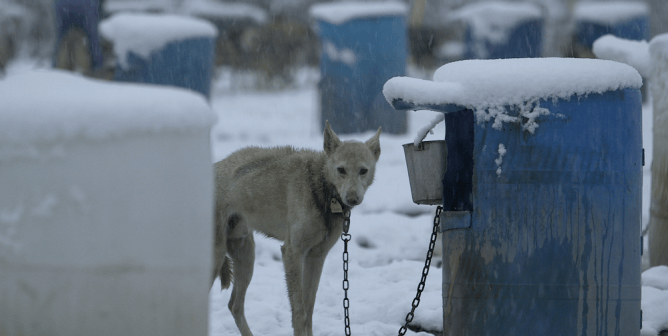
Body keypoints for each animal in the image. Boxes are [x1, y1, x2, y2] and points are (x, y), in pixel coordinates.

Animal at [214, 122, 380, 336]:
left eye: (363, 170)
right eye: (341, 170)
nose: (352, 198)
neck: (319, 188)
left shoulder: (316, 257)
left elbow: (309, 311)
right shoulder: (292, 252)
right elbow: (299, 313)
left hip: (246, 258)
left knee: (234, 305)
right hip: (216, 260)